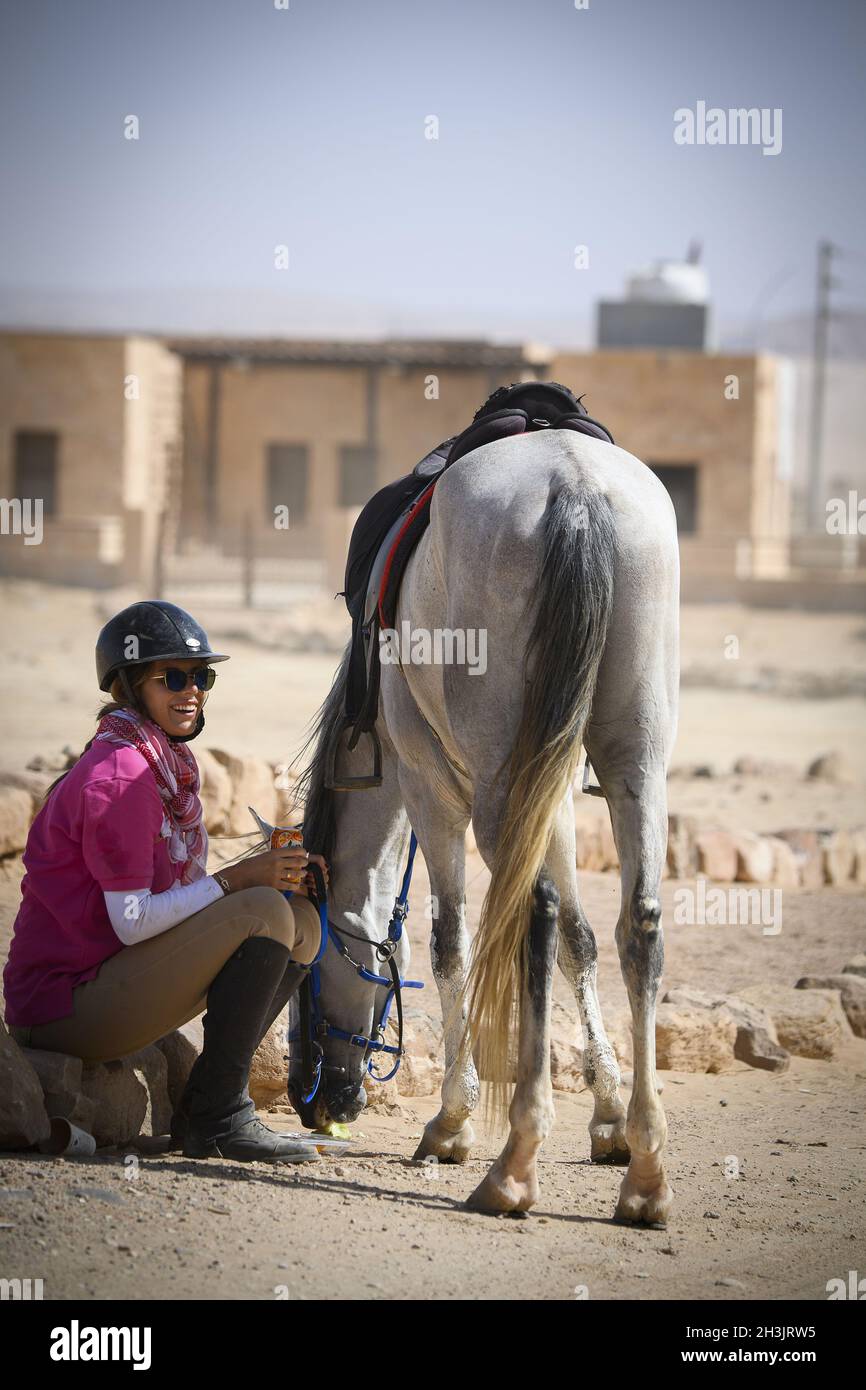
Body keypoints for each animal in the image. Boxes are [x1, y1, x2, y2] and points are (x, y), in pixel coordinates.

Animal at [294, 428, 681, 1223]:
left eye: (306, 972)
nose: (314, 1100)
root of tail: (575, 486)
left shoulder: (427, 780)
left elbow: (450, 943)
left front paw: (453, 1121)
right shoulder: (553, 789)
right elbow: (581, 941)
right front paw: (608, 1115)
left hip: (500, 777)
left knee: (531, 918)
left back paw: (515, 1164)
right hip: (635, 760)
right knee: (638, 926)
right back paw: (647, 1175)